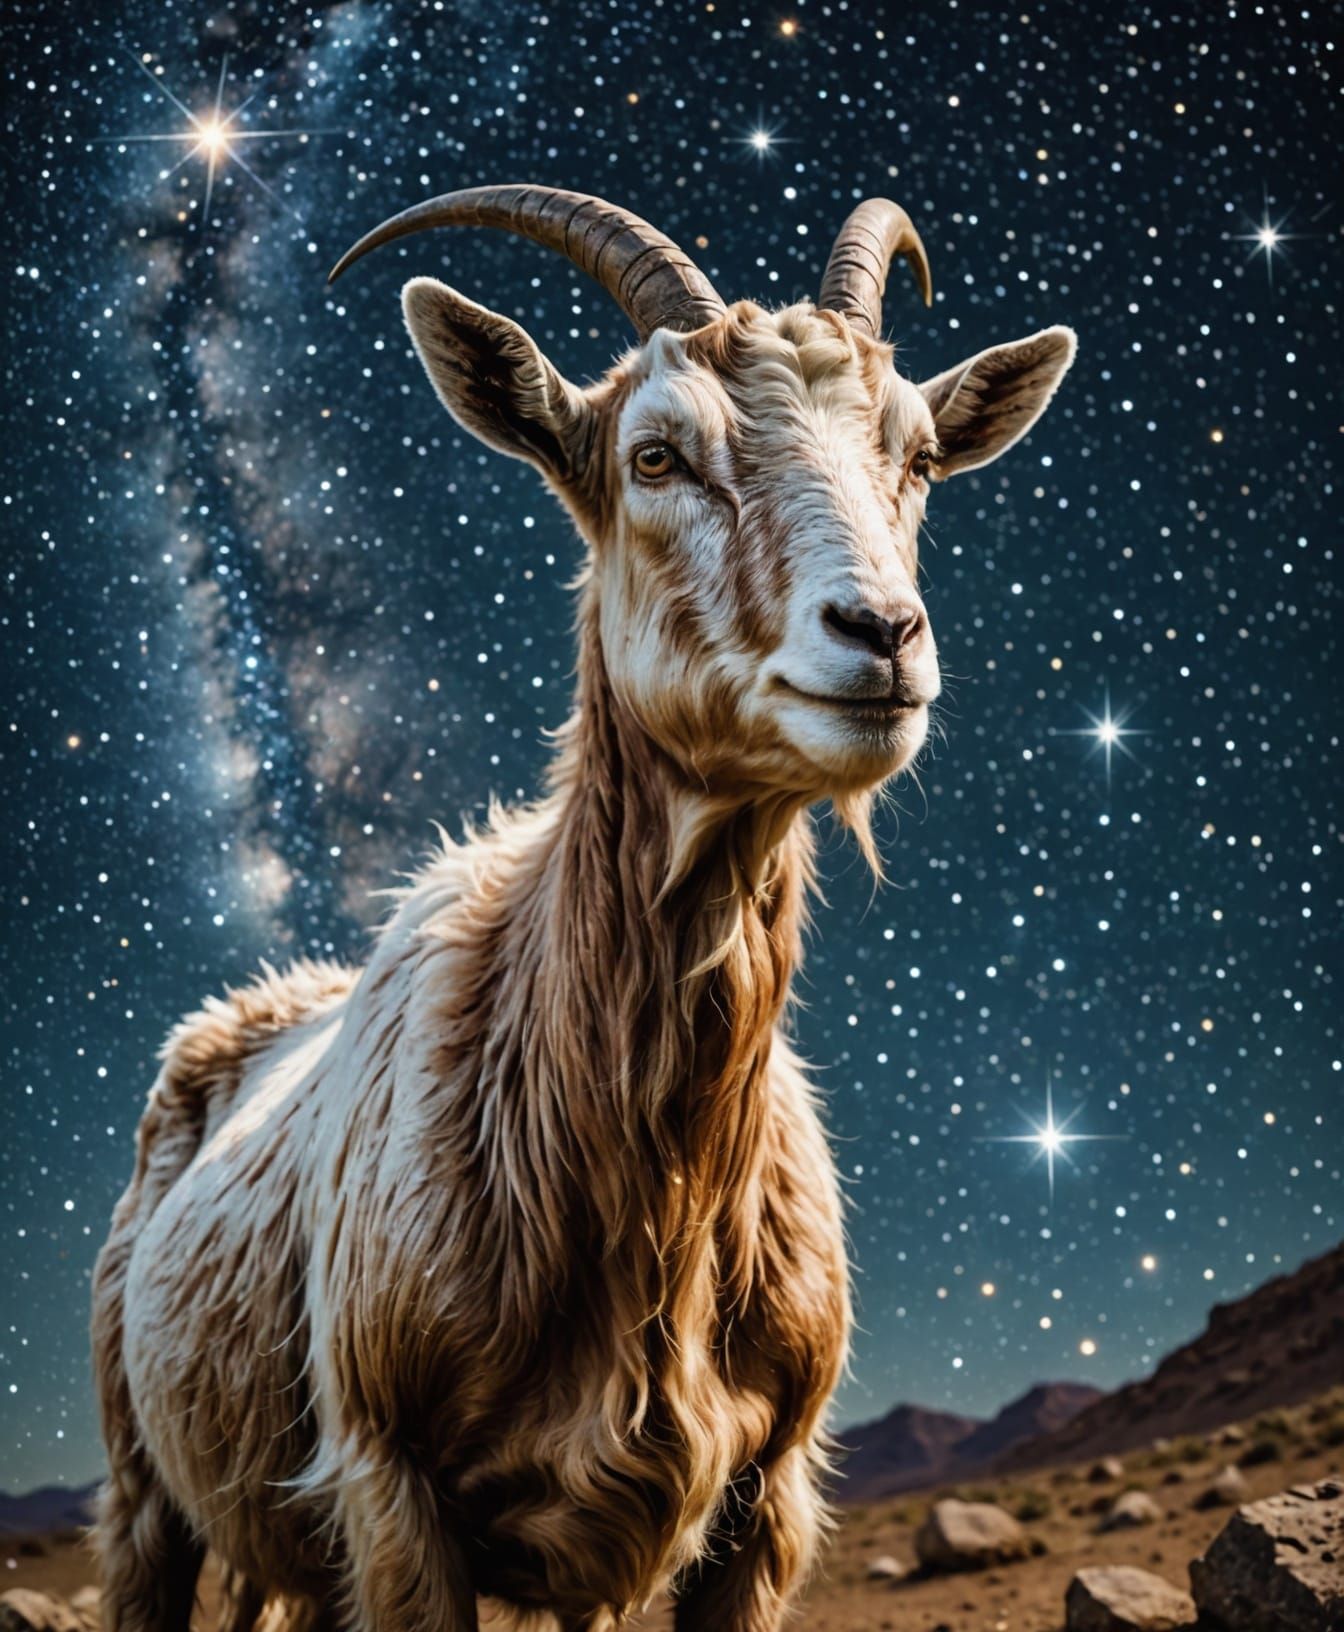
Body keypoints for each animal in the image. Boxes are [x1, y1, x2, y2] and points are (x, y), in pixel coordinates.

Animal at [92, 186, 1075, 1632]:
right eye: (656, 456)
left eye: (918, 456)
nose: (882, 637)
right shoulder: (389, 1484)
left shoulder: (765, 1497)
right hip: (144, 1482)